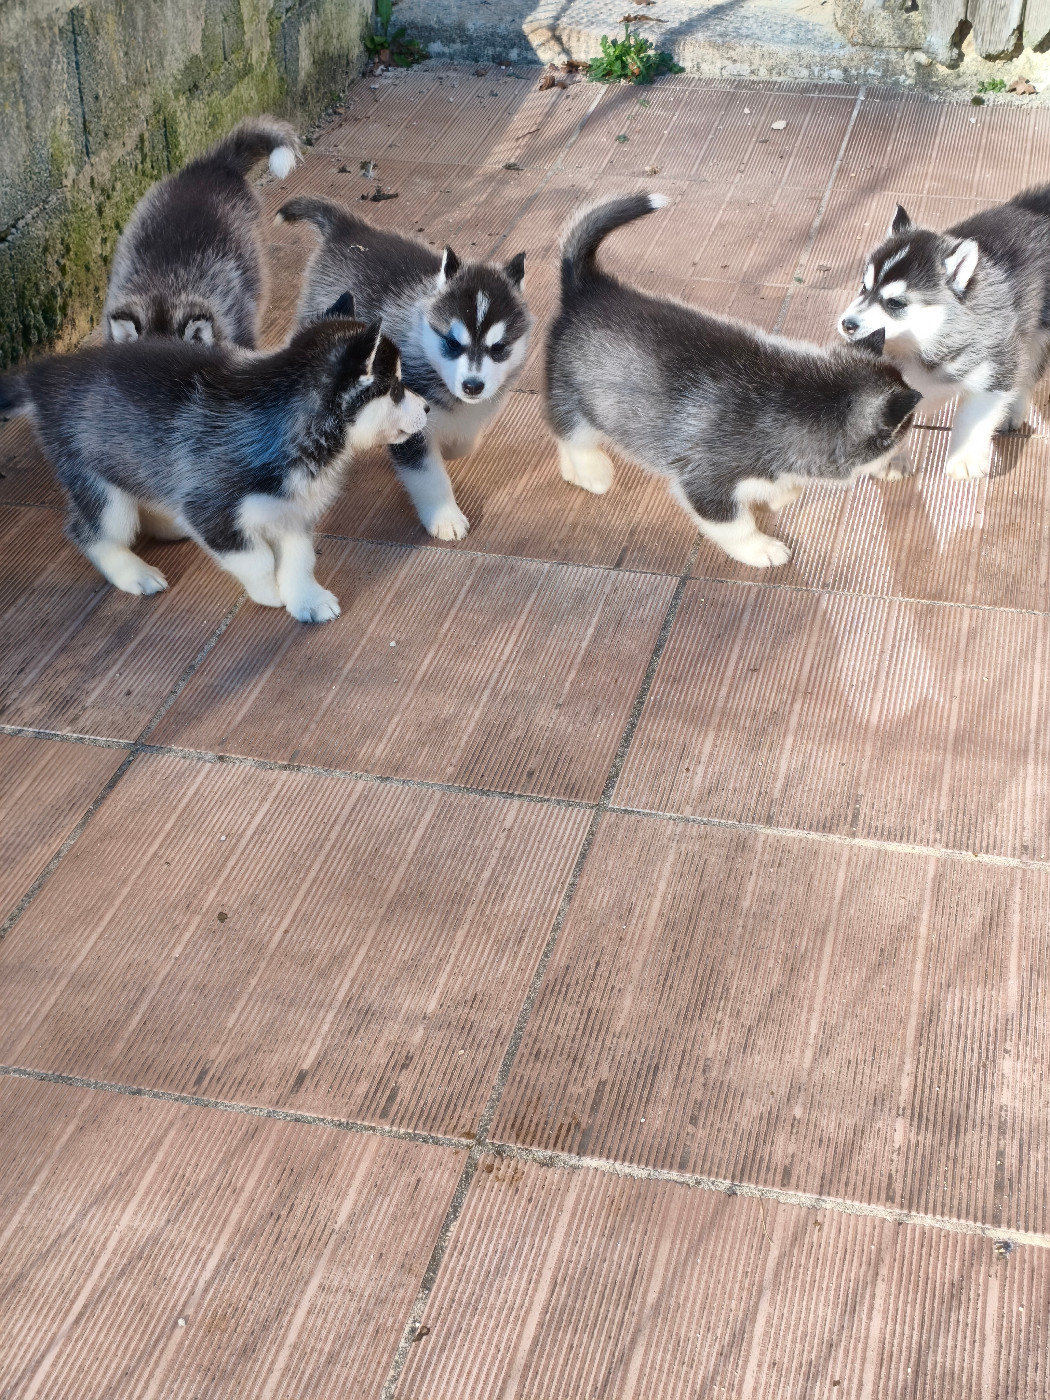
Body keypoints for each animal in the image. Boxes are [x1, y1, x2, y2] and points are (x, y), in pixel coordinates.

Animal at [0, 307, 428, 621]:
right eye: (395, 388)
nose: (426, 408)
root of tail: (42, 373)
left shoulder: (290, 510)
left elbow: (299, 558)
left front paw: (306, 598)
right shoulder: (211, 509)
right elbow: (257, 557)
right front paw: (269, 592)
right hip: (99, 486)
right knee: (89, 530)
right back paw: (133, 573)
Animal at [274, 196, 531, 541]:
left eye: (499, 347)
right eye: (452, 343)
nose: (472, 386)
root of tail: (348, 228)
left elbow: (464, 441)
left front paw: (452, 447)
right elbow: (429, 475)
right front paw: (445, 516)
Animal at [546, 194, 922, 568]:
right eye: (906, 427)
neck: (794, 396)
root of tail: (589, 287)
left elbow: (788, 487)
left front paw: (778, 496)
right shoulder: (706, 484)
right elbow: (735, 526)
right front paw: (761, 548)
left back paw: (571, 471)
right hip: (572, 395)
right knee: (570, 432)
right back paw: (591, 471)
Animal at [838, 190, 1050, 480]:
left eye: (895, 303)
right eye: (863, 287)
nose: (846, 324)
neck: (924, 344)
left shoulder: (994, 366)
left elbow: (973, 416)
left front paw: (964, 460)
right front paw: (891, 459)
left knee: (1027, 369)